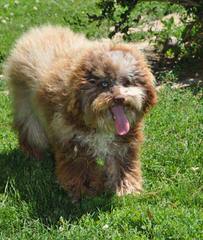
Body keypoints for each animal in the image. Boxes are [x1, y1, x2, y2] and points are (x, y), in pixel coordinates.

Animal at [4, 24, 157, 201]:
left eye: (127, 82)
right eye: (104, 84)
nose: (119, 98)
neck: (100, 125)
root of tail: (37, 32)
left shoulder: (123, 143)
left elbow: (122, 165)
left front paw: (125, 188)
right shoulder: (73, 141)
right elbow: (81, 169)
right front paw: (86, 191)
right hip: (28, 110)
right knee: (30, 132)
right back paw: (34, 155)